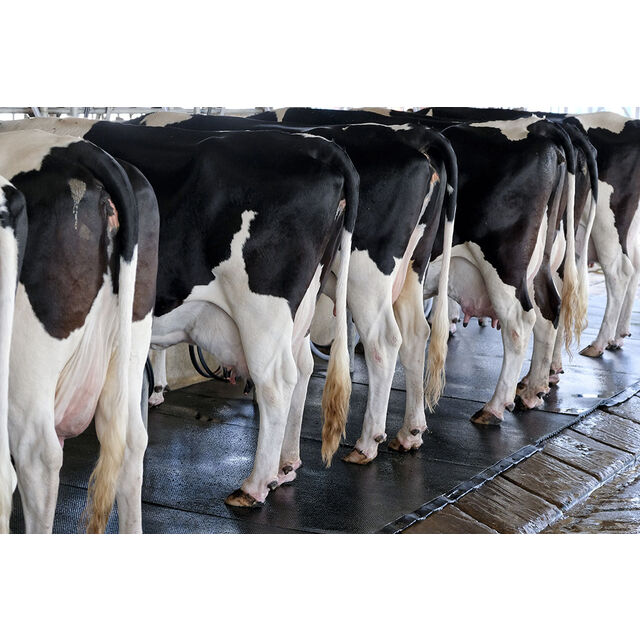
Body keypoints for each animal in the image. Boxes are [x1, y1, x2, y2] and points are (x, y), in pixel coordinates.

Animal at [129, 111, 458, 464]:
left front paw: (156, 391)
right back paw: (409, 432)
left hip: (363, 276)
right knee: (414, 332)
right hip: (410, 267)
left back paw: (366, 443)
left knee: (381, 342)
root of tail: (415, 134)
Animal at [257, 109, 583, 423]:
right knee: (549, 310)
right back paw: (531, 389)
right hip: (535, 262)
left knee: (518, 323)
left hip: (501, 262)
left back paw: (493, 407)